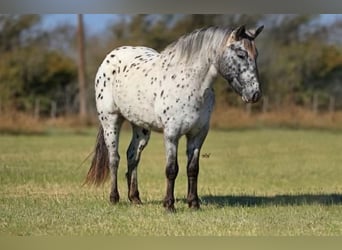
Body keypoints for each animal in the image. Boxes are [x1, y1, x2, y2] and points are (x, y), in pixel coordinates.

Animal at [85, 24, 264, 211]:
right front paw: (169, 205)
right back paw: (114, 198)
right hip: (111, 121)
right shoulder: (172, 134)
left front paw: (194, 203)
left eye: (256, 54)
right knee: (114, 158)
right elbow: (171, 169)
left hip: (141, 128)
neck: (192, 84)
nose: (255, 94)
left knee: (132, 156)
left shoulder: (197, 135)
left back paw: (135, 198)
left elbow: (193, 169)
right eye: (241, 54)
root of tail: (110, 56)